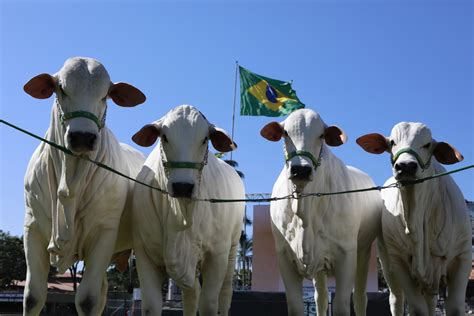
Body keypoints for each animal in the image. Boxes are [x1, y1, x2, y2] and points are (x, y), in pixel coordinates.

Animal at [21, 57, 146, 316]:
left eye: (106, 94)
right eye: (61, 88)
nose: (82, 137)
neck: (68, 184)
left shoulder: (104, 233)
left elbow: (87, 299)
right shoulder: (32, 228)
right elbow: (33, 296)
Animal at [132, 105, 246, 316]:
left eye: (205, 139)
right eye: (164, 136)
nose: (183, 186)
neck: (181, 213)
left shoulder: (217, 254)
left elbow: (209, 303)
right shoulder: (144, 254)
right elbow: (152, 304)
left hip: (233, 247)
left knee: (225, 294)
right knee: (192, 294)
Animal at [262, 109, 384, 316]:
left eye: (321, 135)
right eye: (285, 133)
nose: (300, 170)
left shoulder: (346, 256)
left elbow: (341, 304)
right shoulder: (284, 257)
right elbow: (296, 305)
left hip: (364, 252)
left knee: (360, 298)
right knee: (321, 298)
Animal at [360, 121, 470, 316]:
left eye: (427, 144)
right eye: (392, 142)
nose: (405, 166)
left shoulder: (462, 257)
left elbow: (455, 307)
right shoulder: (399, 263)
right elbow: (417, 309)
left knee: (431, 301)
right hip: (388, 263)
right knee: (397, 299)